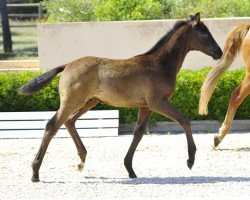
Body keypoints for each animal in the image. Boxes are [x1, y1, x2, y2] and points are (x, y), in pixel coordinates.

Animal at [20, 12, 223, 181]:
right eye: (205, 34)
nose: (219, 52)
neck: (159, 64)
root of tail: (67, 65)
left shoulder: (146, 106)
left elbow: (138, 133)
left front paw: (130, 169)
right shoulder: (158, 102)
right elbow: (184, 120)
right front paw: (190, 160)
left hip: (89, 102)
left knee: (70, 121)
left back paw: (81, 160)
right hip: (72, 101)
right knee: (52, 125)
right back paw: (35, 172)